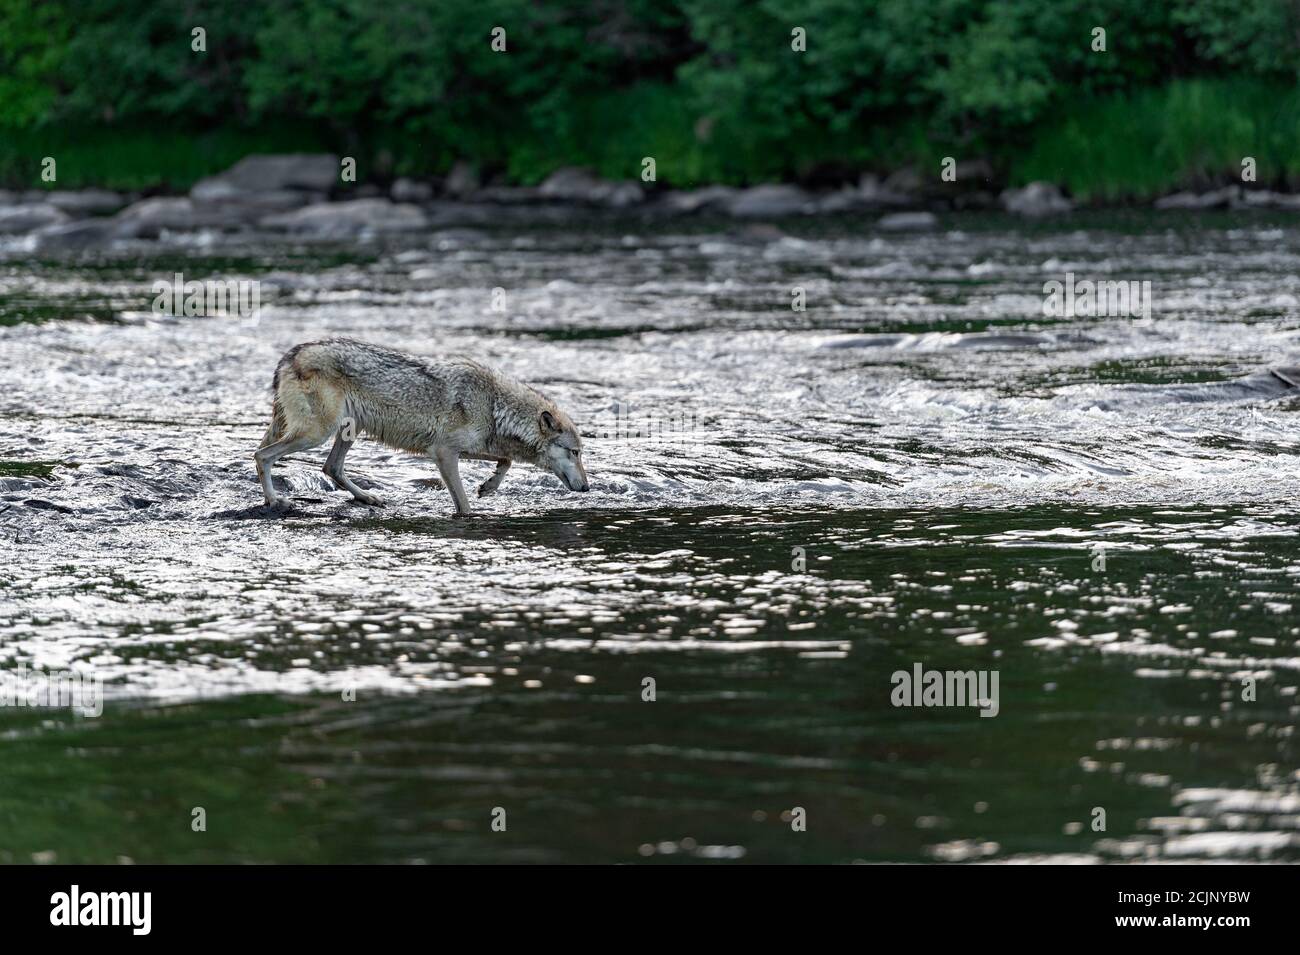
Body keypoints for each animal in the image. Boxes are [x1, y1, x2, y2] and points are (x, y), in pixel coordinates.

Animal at [254, 338, 589, 514]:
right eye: (574, 453)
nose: (587, 487)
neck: (495, 405)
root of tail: (291, 353)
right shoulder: (443, 453)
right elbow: (464, 504)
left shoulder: (466, 448)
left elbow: (505, 460)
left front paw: (488, 486)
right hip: (316, 434)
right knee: (262, 456)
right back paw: (274, 500)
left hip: (348, 431)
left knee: (330, 468)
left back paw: (367, 497)